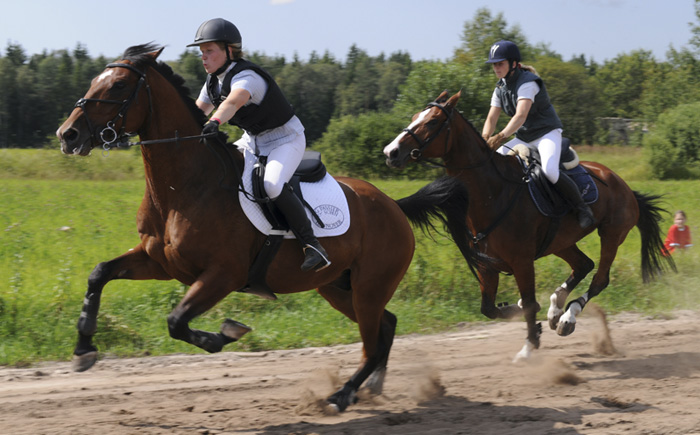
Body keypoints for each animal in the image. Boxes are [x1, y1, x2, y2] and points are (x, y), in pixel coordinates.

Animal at [53, 46, 470, 414]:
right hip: (338, 287)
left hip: (369, 288)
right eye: (94, 81)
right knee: (386, 325)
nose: (67, 135)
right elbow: (100, 274)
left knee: (372, 342)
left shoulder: (222, 274)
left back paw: (341, 395)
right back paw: (367, 387)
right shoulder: (160, 263)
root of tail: (393, 206)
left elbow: (176, 321)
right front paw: (83, 349)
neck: (184, 187)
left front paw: (224, 334)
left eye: (119, 86)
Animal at [382, 91, 672, 362]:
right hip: (561, 241)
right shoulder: (488, 266)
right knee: (583, 265)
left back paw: (568, 317)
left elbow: (530, 304)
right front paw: (521, 311)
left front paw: (529, 347)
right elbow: (491, 308)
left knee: (599, 279)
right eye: (414, 117)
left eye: (431, 121)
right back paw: (556, 308)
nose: (391, 152)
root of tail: (623, 185)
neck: (492, 192)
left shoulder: (522, 262)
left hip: (611, 235)